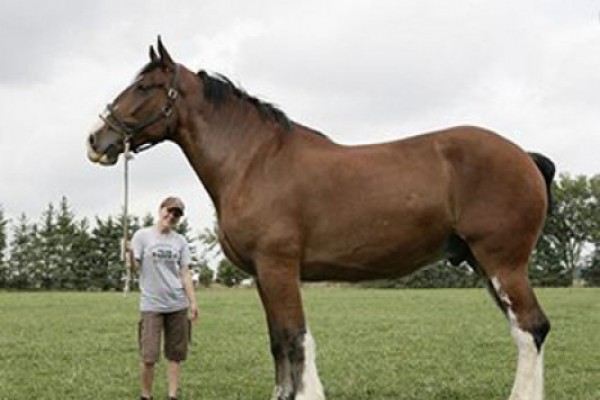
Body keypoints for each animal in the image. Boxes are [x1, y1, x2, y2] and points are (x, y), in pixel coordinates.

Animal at [86, 38, 556, 400]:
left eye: (145, 86)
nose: (96, 139)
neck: (254, 161)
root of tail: (524, 156)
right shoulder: (262, 274)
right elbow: (278, 341)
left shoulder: (279, 267)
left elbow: (296, 337)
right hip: (483, 263)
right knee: (526, 330)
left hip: (502, 262)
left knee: (530, 328)